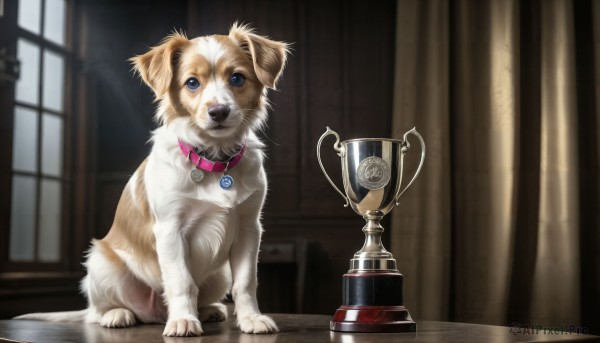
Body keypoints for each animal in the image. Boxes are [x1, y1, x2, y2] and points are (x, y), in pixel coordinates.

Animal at [15, 24, 290, 338]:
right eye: (192, 83)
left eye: (237, 78)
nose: (218, 111)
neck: (213, 158)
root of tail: (155, 313)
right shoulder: (170, 229)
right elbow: (181, 280)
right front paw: (183, 320)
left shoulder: (248, 228)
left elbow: (245, 281)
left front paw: (251, 318)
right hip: (101, 264)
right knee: (96, 313)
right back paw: (118, 314)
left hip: (219, 275)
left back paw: (209, 310)